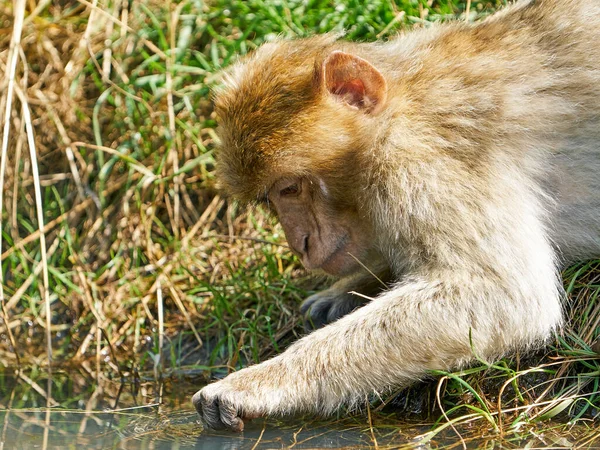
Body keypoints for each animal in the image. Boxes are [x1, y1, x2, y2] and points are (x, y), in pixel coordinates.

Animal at [192, 0, 600, 432]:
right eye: (270, 200)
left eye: (290, 188)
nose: (300, 244)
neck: (400, 107)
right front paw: (348, 290)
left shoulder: (419, 165)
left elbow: (503, 293)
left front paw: (257, 382)